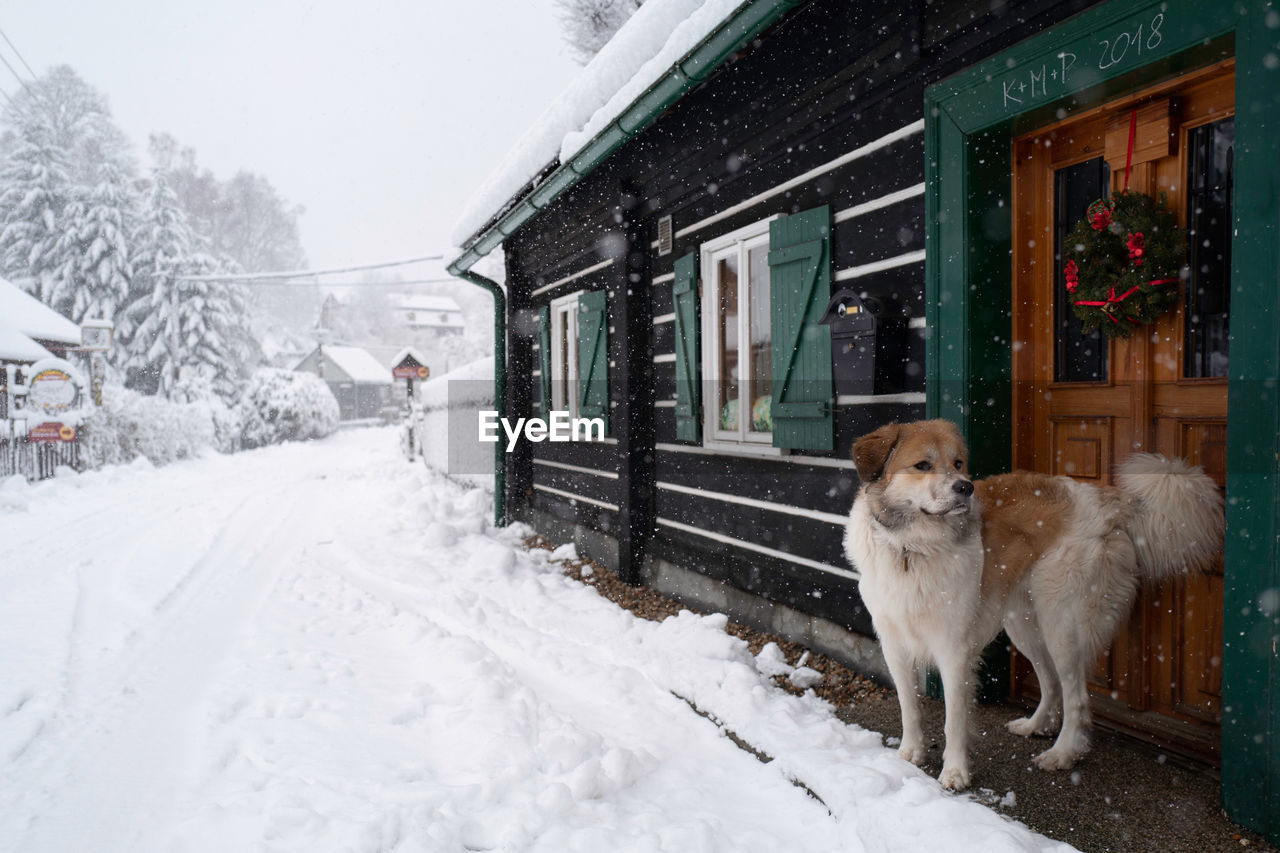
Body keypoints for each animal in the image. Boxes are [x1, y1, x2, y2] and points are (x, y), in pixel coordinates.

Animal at [844, 417, 1223, 788]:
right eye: (922, 465)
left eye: (958, 464)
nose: (966, 488)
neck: (911, 547)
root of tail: (1108, 500)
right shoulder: (894, 643)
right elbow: (908, 706)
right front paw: (911, 754)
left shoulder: (953, 648)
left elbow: (955, 719)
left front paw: (954, 772)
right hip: (1023, 624)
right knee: (1051, 682)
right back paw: (1035, 726)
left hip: (1062, 624)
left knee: (1077, 698)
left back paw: (1063, 753)